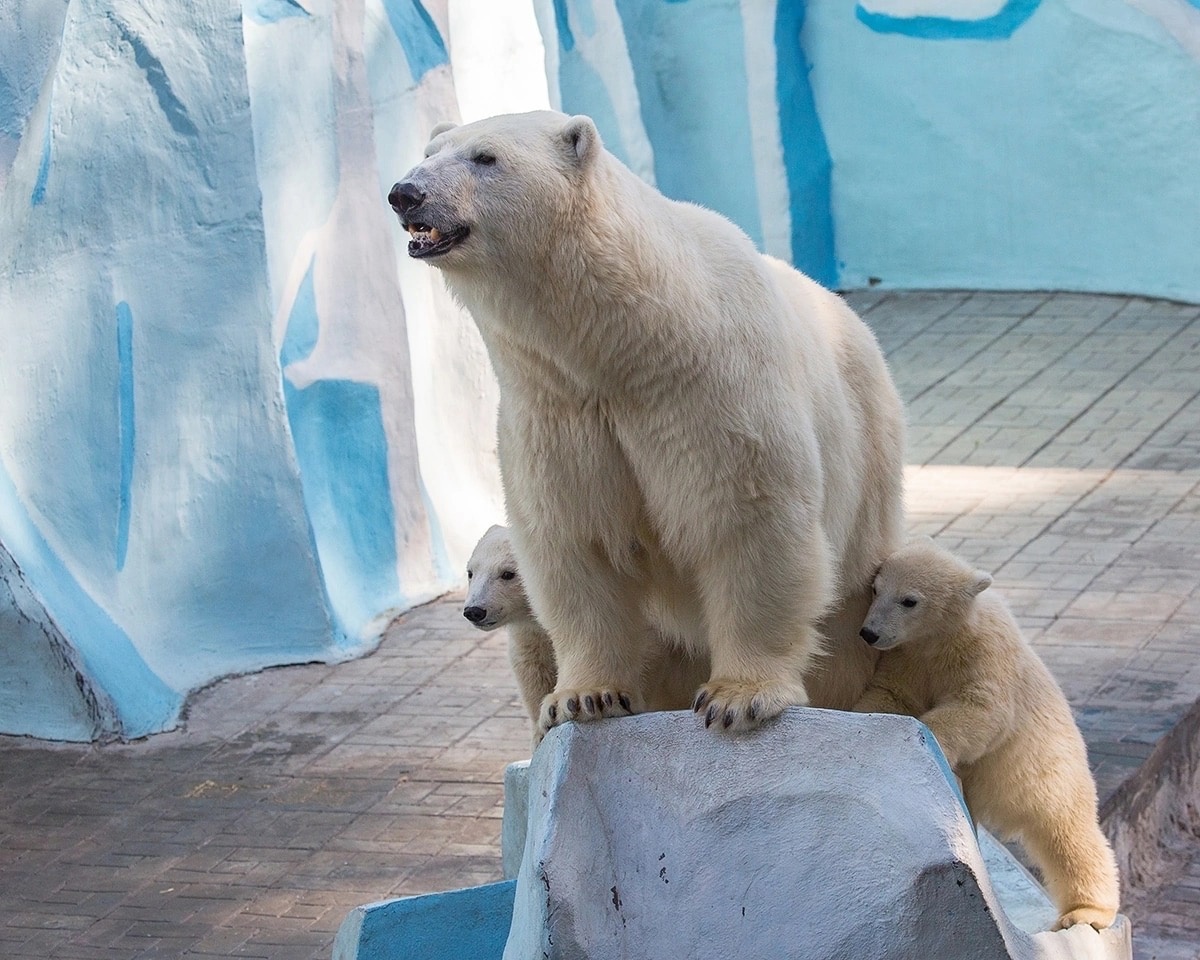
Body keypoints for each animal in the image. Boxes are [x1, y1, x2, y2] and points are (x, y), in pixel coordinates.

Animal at [388, 112, 902, 739]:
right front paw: (582, 697)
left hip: (868, 468)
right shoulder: (556, 409)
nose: (404, 193)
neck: (625, 340)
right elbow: (572, 540)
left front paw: (739, 697)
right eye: (429, 152)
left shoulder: (709, 389)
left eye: (484, 157)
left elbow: (749, 519)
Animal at [854, 535, 1113, 926]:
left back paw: (1086, 912)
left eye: (909, 600)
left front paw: (930, 742)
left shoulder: (983, 655)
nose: (869, 633)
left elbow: (982, 710)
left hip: (1051, 775)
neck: (945, 635)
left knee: (1069, 837)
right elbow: (892, 694)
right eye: (875, 588)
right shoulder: (908, 658)